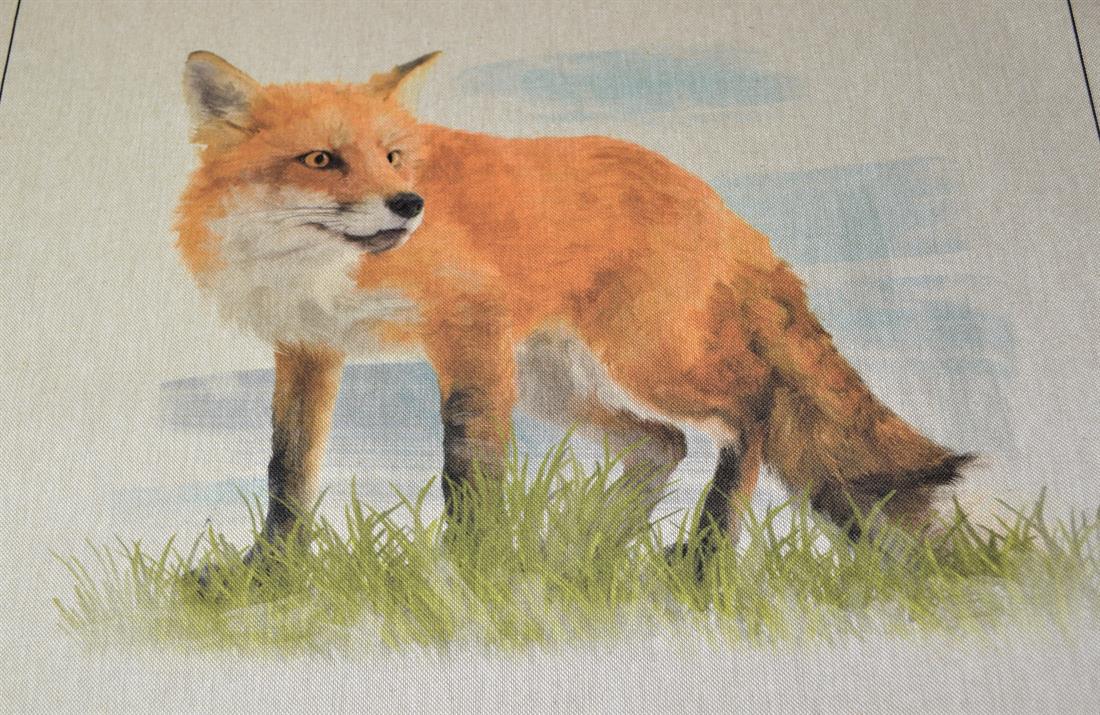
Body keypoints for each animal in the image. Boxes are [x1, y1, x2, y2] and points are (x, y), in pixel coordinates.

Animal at [176, 50, 972, 561]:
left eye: (394, 155)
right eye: (321, 160)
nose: (409, 204)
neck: (324, 271)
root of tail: (714, 202)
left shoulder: (470, 332)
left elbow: (469, 466)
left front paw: (471, 570)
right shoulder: (308, 351)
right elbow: (288, 472)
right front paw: (271, 571)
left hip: (647, 358)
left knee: (756, 406)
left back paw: (703, 552)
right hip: (554, 385)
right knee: (663, 443)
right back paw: (587, 551)